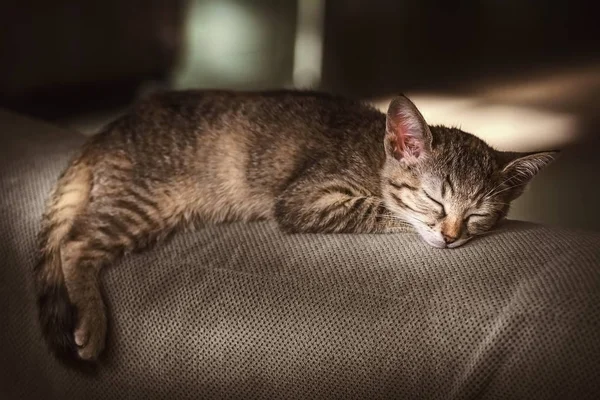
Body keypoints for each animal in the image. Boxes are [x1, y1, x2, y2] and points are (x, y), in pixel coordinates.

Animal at [35, 90, 556, 362]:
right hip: (147, 201)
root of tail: (107, 130)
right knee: (75, 243)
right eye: (434, 199)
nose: (451, 237)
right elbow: (381, 209)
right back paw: (92, 322)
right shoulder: (303, 199)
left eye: (479, 214)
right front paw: (406, 218)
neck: (371, 154)